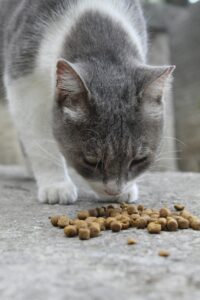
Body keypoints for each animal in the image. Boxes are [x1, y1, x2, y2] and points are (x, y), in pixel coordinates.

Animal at [0, 0, 174, 204]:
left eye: (138, 160)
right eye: (91, 161)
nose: (114, 191)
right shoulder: (24, 80)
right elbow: (39, 140)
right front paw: (56, 185)